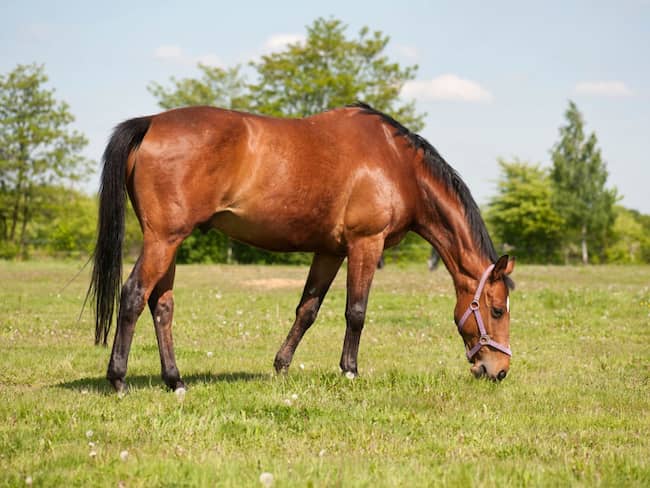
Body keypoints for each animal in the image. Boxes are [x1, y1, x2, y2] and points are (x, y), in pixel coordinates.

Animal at [87, 102, 515, 393]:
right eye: (496, 309)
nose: (499, 370)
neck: (397, 164)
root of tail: (150, 123)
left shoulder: (330, 251)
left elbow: (307, 310)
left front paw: (281, 366)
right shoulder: (366, 244)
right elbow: (356, 312)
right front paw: (350, 370)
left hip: (170, 242)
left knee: (162, 306)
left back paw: (174, 381)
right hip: (163, 240)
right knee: (133, 295)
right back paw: (118, 379)